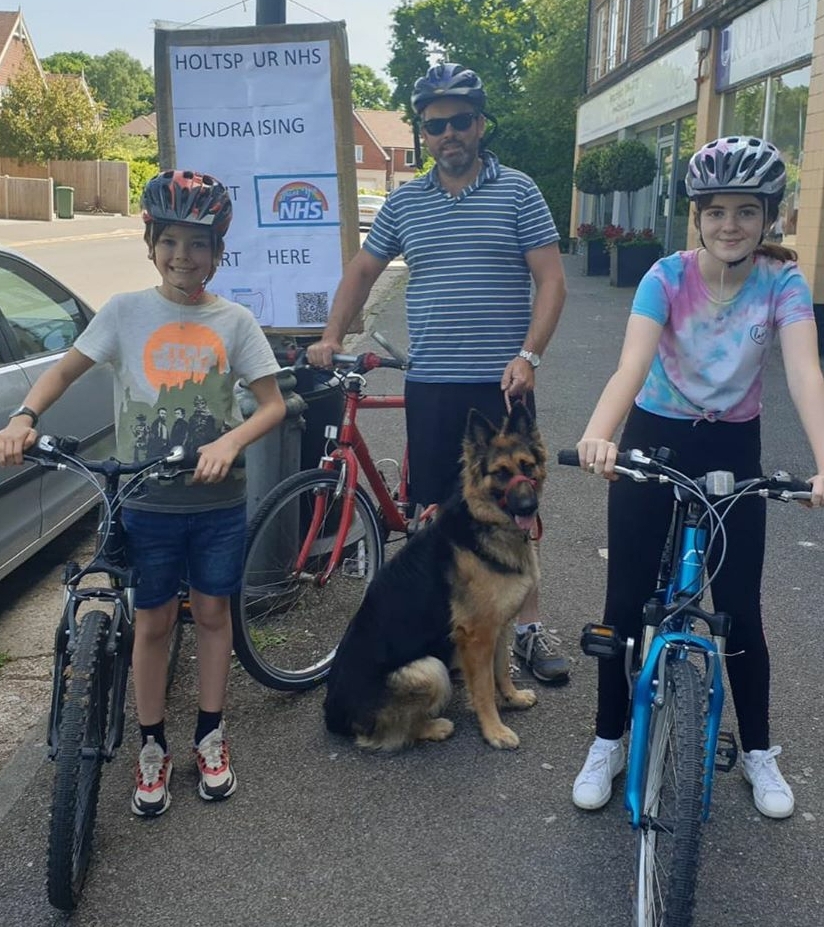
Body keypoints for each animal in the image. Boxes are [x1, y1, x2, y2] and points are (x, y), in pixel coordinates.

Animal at [323, 401, 547, 751]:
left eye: (527, 466)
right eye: (501, 473)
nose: (528, 506)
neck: (484, 522)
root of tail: (333, 714)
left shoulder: (497, 627)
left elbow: (501, 671)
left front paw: (511, 698)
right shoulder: (477, 636)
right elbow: (484, 689)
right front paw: (494, 730)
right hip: (430, 668)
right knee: (388, 735)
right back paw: (434, 726)